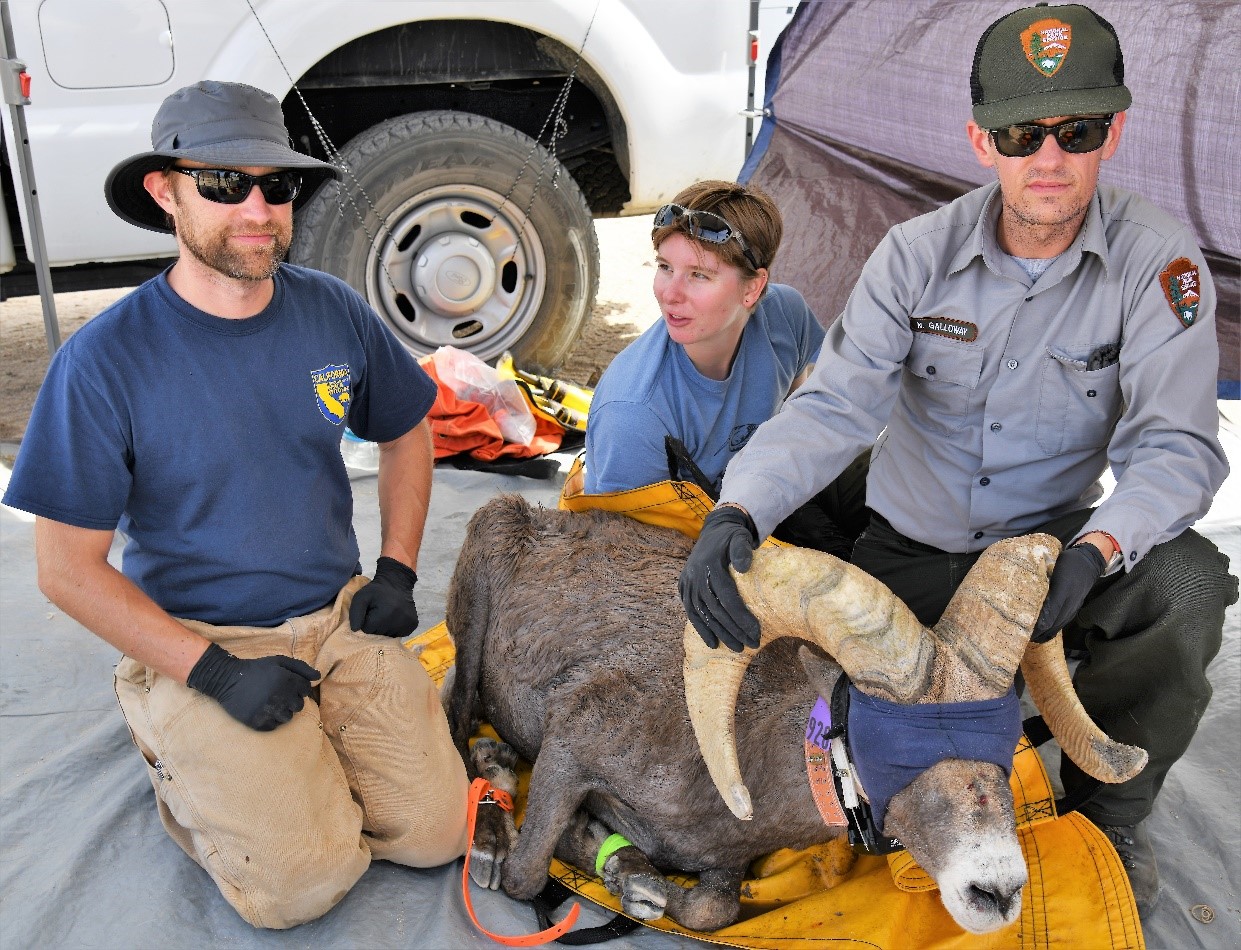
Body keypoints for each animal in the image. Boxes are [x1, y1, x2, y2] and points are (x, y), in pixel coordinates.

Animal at [444, 498, 1141, 937]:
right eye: (881, 742)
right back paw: (492, 803)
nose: (995, 892)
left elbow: (711, 910)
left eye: (1007, 736)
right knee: (455, 717)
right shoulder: (570, 743)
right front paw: (608, 858)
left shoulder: (724, 864)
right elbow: (528, 874)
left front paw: (633, 875)